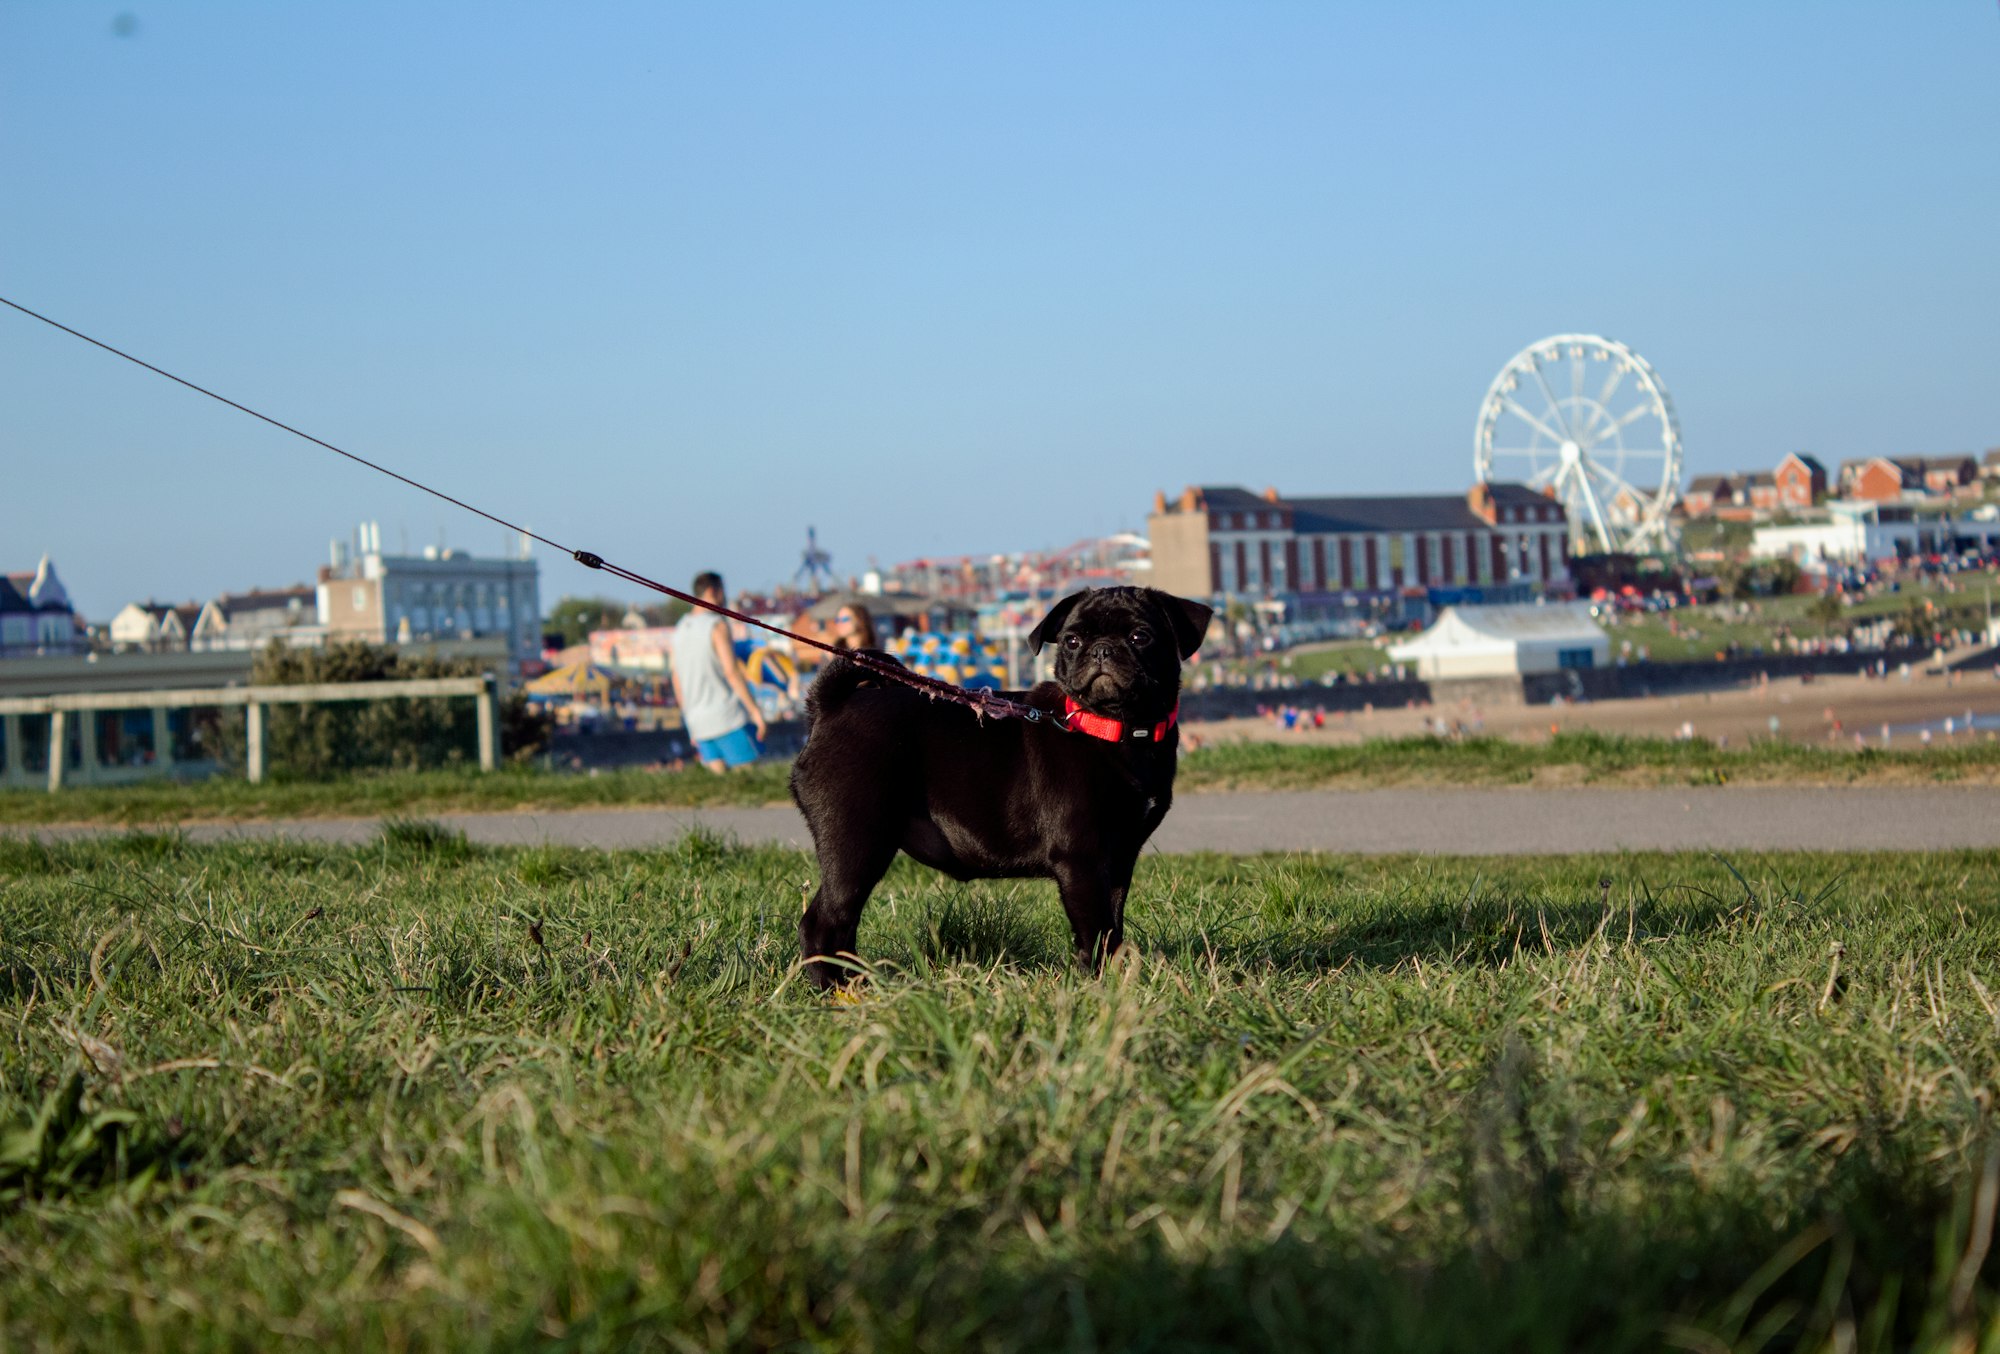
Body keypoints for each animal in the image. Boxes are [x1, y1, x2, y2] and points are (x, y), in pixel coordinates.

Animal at [788, 588, 1208, 988]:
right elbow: (1095, 931)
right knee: (824, 923)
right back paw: (832, 990)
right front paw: (1097, 986)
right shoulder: (1082, 860)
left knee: (843, 926)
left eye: (1141, 637)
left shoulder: (1119, 857)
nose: (1102, 649)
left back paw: (858, 984)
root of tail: (830, 707)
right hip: (857, 841)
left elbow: (1113, 928)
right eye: (1072, 641)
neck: (1113, 726)